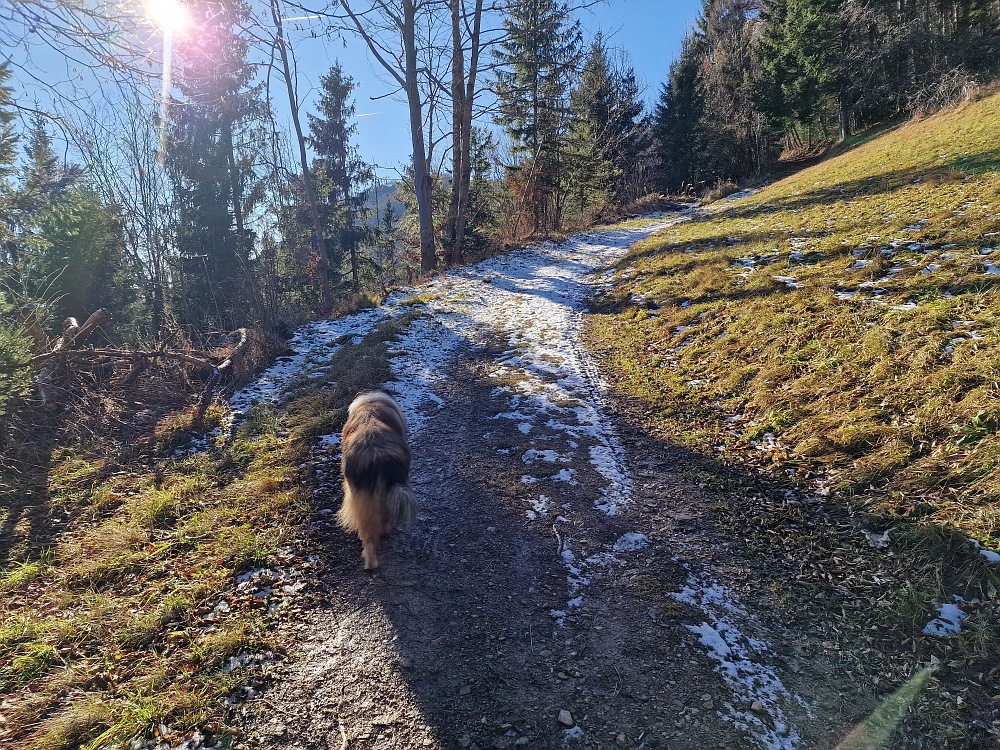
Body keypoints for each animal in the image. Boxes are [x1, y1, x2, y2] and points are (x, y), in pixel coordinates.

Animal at [336, 394, 414, 568]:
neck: (370, 405)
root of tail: (377, 455)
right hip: (379, 495)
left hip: (364, 496)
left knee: (369, 534)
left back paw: (370, 562)